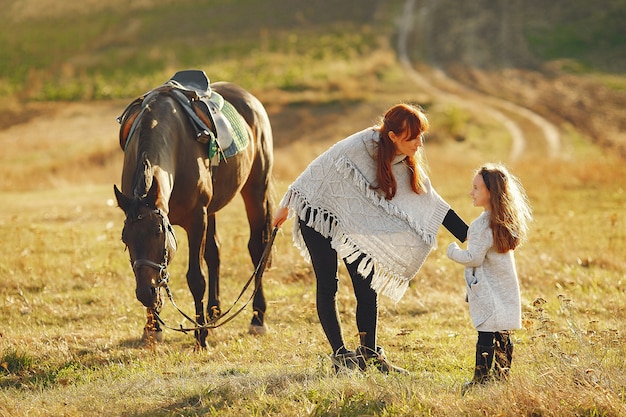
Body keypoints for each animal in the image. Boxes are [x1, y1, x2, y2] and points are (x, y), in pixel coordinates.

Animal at [114, 75, 272, 348]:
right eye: (126, 240)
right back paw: (214, 312)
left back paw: (257, 318)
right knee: (215, 253)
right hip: (214, 209)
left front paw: (200, 336)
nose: (145, 292)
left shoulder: (197, 219)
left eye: (158, 233)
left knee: (256, 249)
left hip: (255, 191)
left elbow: (196, 279)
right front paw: (153, 329)